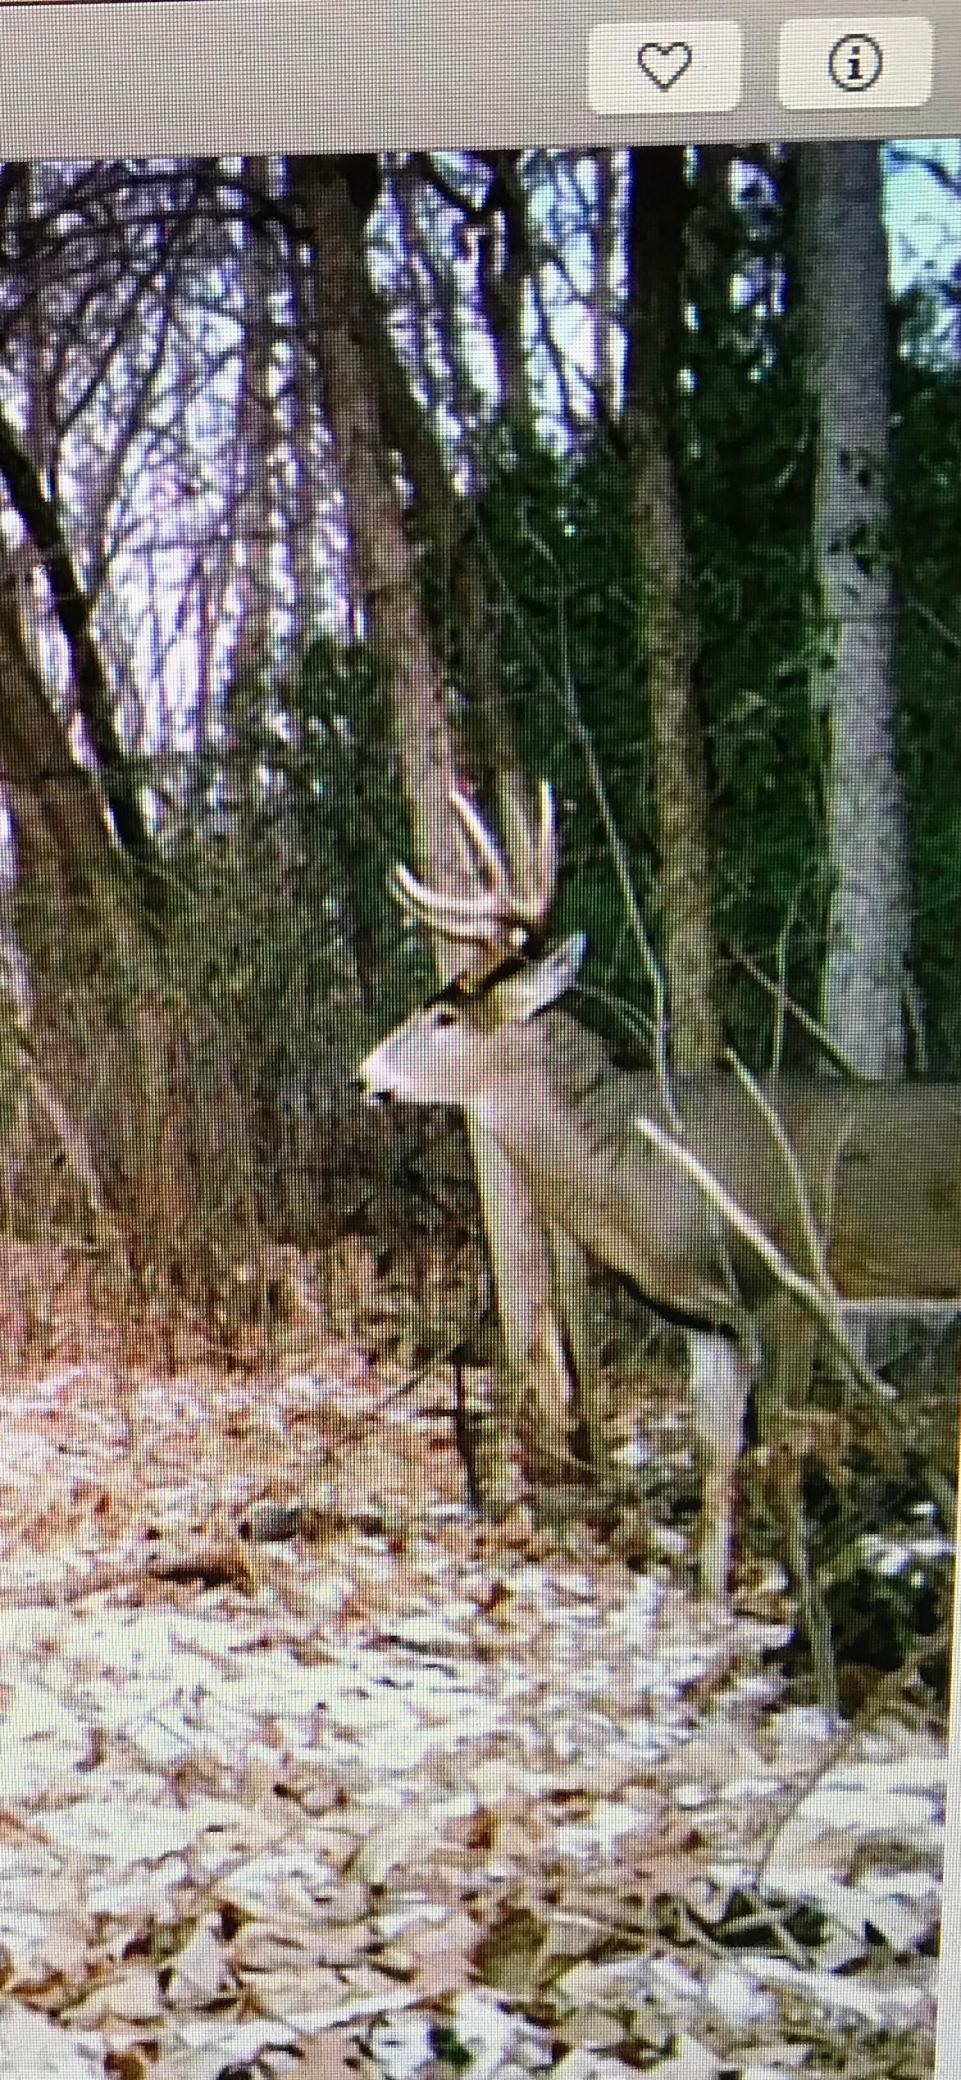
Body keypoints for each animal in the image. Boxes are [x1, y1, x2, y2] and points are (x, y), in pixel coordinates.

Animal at [357, 780, 961, 1599]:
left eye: (445, 1014)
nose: (365, 1073)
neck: (644, 1168)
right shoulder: (707, 1316)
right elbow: (715, 1453)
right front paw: (709, 1599)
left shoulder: (791, 1282)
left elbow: (779, 1449)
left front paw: (800, 1607)